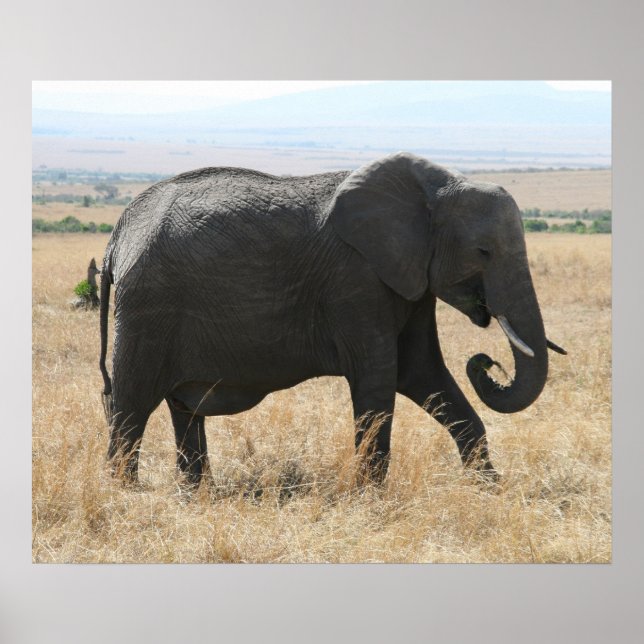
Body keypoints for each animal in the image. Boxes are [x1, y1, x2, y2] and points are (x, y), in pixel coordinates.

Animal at [99, 152, 565, 487]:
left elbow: (423, 373)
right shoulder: (356, 280)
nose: (487, 362)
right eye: (483, 252)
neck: (435, 190)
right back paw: (125, 493)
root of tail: (118, 235)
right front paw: (369, 498)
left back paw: (196, 493)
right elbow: (379, 380)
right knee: (132, 403)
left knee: (182, 407)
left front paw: (489, 489)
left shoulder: (408, 281)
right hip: (147, 307)